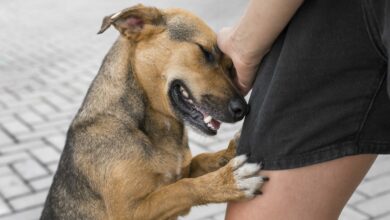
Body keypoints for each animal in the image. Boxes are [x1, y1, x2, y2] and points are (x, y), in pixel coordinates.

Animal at [42, 5, 268, 220]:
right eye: (205, 51)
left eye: (230, 67)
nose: (243, 110)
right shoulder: (130, 212)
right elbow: (181, 188)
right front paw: (227, 181)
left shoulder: (183, 171)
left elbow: (201, 160)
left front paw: (229, 152)